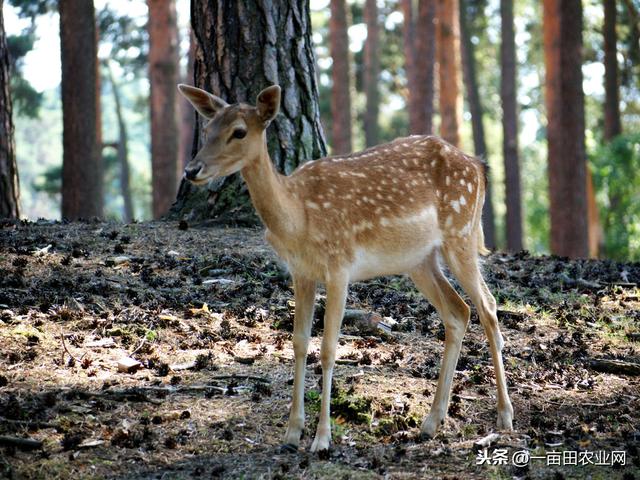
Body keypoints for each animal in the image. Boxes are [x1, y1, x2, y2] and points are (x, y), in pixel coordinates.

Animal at [179, 83, 516, 454]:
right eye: (207, 129)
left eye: (239, 131)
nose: (191, 170)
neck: (297, 218)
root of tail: (479, 166)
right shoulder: (300, 272)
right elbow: (299, 343)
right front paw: (292, 433)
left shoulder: (339, 265)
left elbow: (328, 348)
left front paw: (322, 438)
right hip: (419, 260)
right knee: (458, 311)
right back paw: (431, 422)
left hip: (462, 232)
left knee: (488, 306)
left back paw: (505, 416)